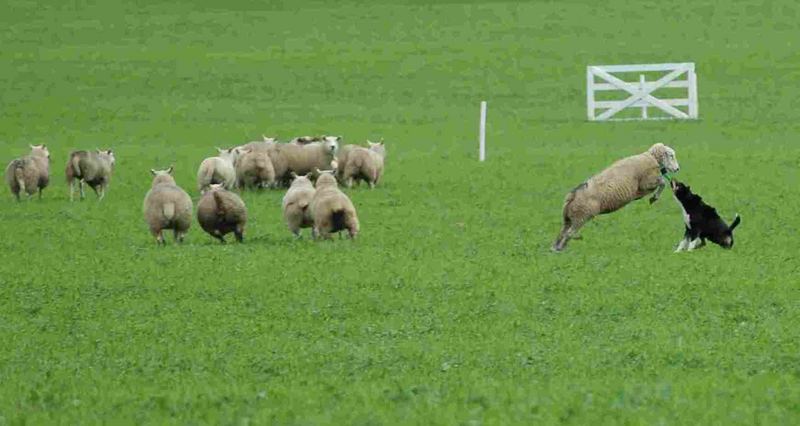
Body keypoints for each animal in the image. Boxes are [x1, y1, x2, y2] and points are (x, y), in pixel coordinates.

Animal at [552, 141, 680, 251]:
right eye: (671, 155)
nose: (678, 169)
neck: (652, 158)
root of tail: (572, 195)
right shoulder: (646, 183)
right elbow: (662, 182)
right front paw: (654, 198)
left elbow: (662, 182)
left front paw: (654, 197)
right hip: (581, 216)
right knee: (569, 233)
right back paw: (564, 247)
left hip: (569, 218)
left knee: (563, 233)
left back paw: (556, 249)